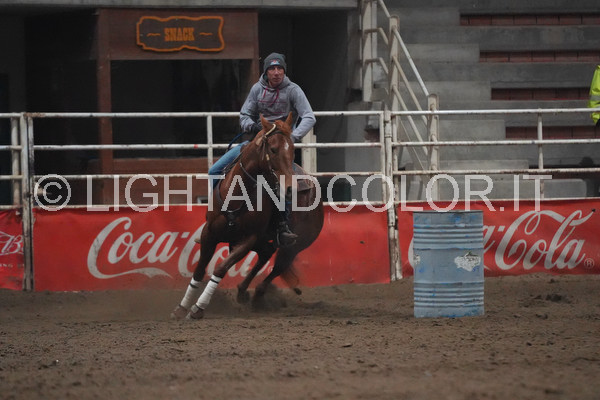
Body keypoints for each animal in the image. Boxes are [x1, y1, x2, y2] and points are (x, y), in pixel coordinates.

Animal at [171, 113, 324, 320]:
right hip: (262, 240)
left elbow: (221, 267)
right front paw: (182, 306)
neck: (237, 196)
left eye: (292, 149)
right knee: (265, 254)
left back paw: (257, 296)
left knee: (276, 268)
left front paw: (198, 308)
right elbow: (200, 269)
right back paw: (242, 291)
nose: (289, 189)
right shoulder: (209, 233)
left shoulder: (248, 239)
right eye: (273, 149)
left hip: (294, 246)